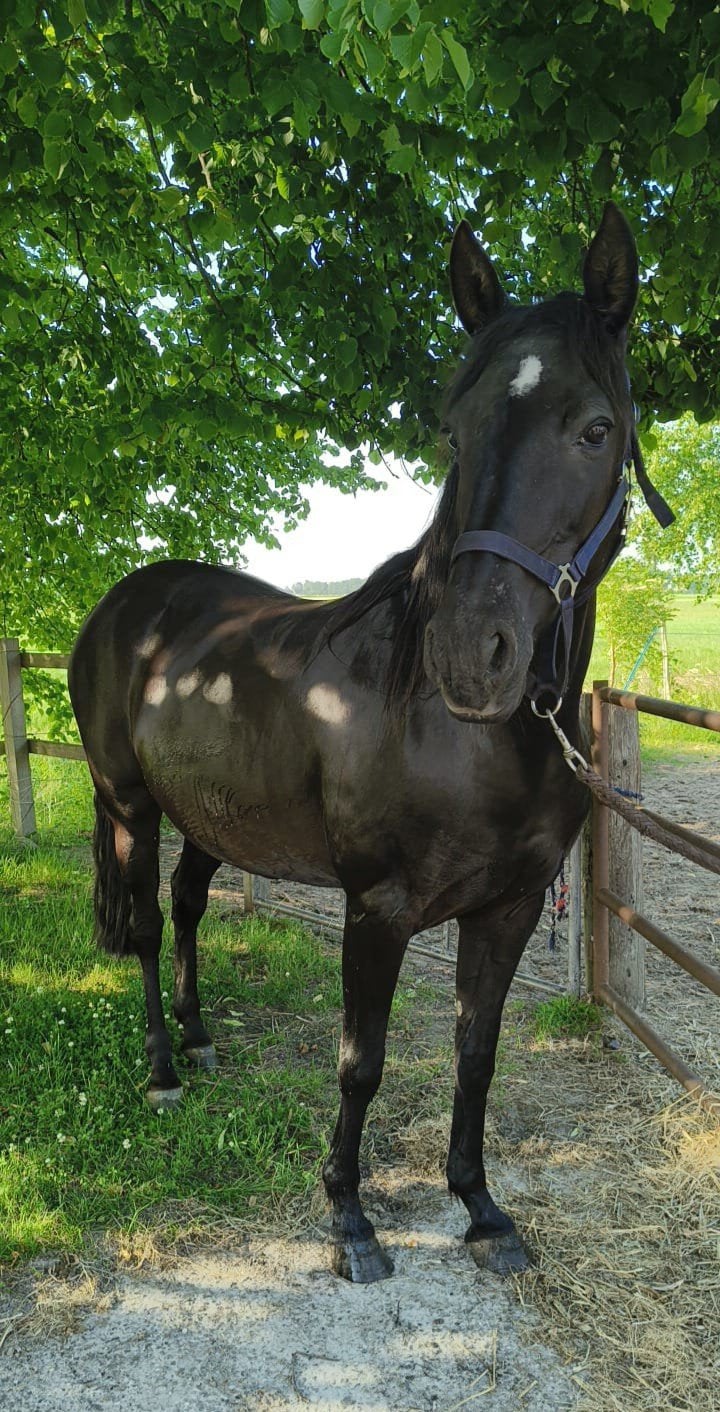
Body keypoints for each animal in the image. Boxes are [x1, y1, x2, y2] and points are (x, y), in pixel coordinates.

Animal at [69, 203, 668, 1285]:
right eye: (454, 430)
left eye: (597, 428)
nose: (473, 655)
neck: (464, 736)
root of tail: (125, 603)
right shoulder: (378, 909)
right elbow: (363, 1061)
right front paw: (350, 1216)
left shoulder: (512, 907)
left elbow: (478, 1053)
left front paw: (481, 1209)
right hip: (130, 805)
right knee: (142, 927)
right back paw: (165, 1069)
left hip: (208, 817)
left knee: (186, 911)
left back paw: (203, 1037)